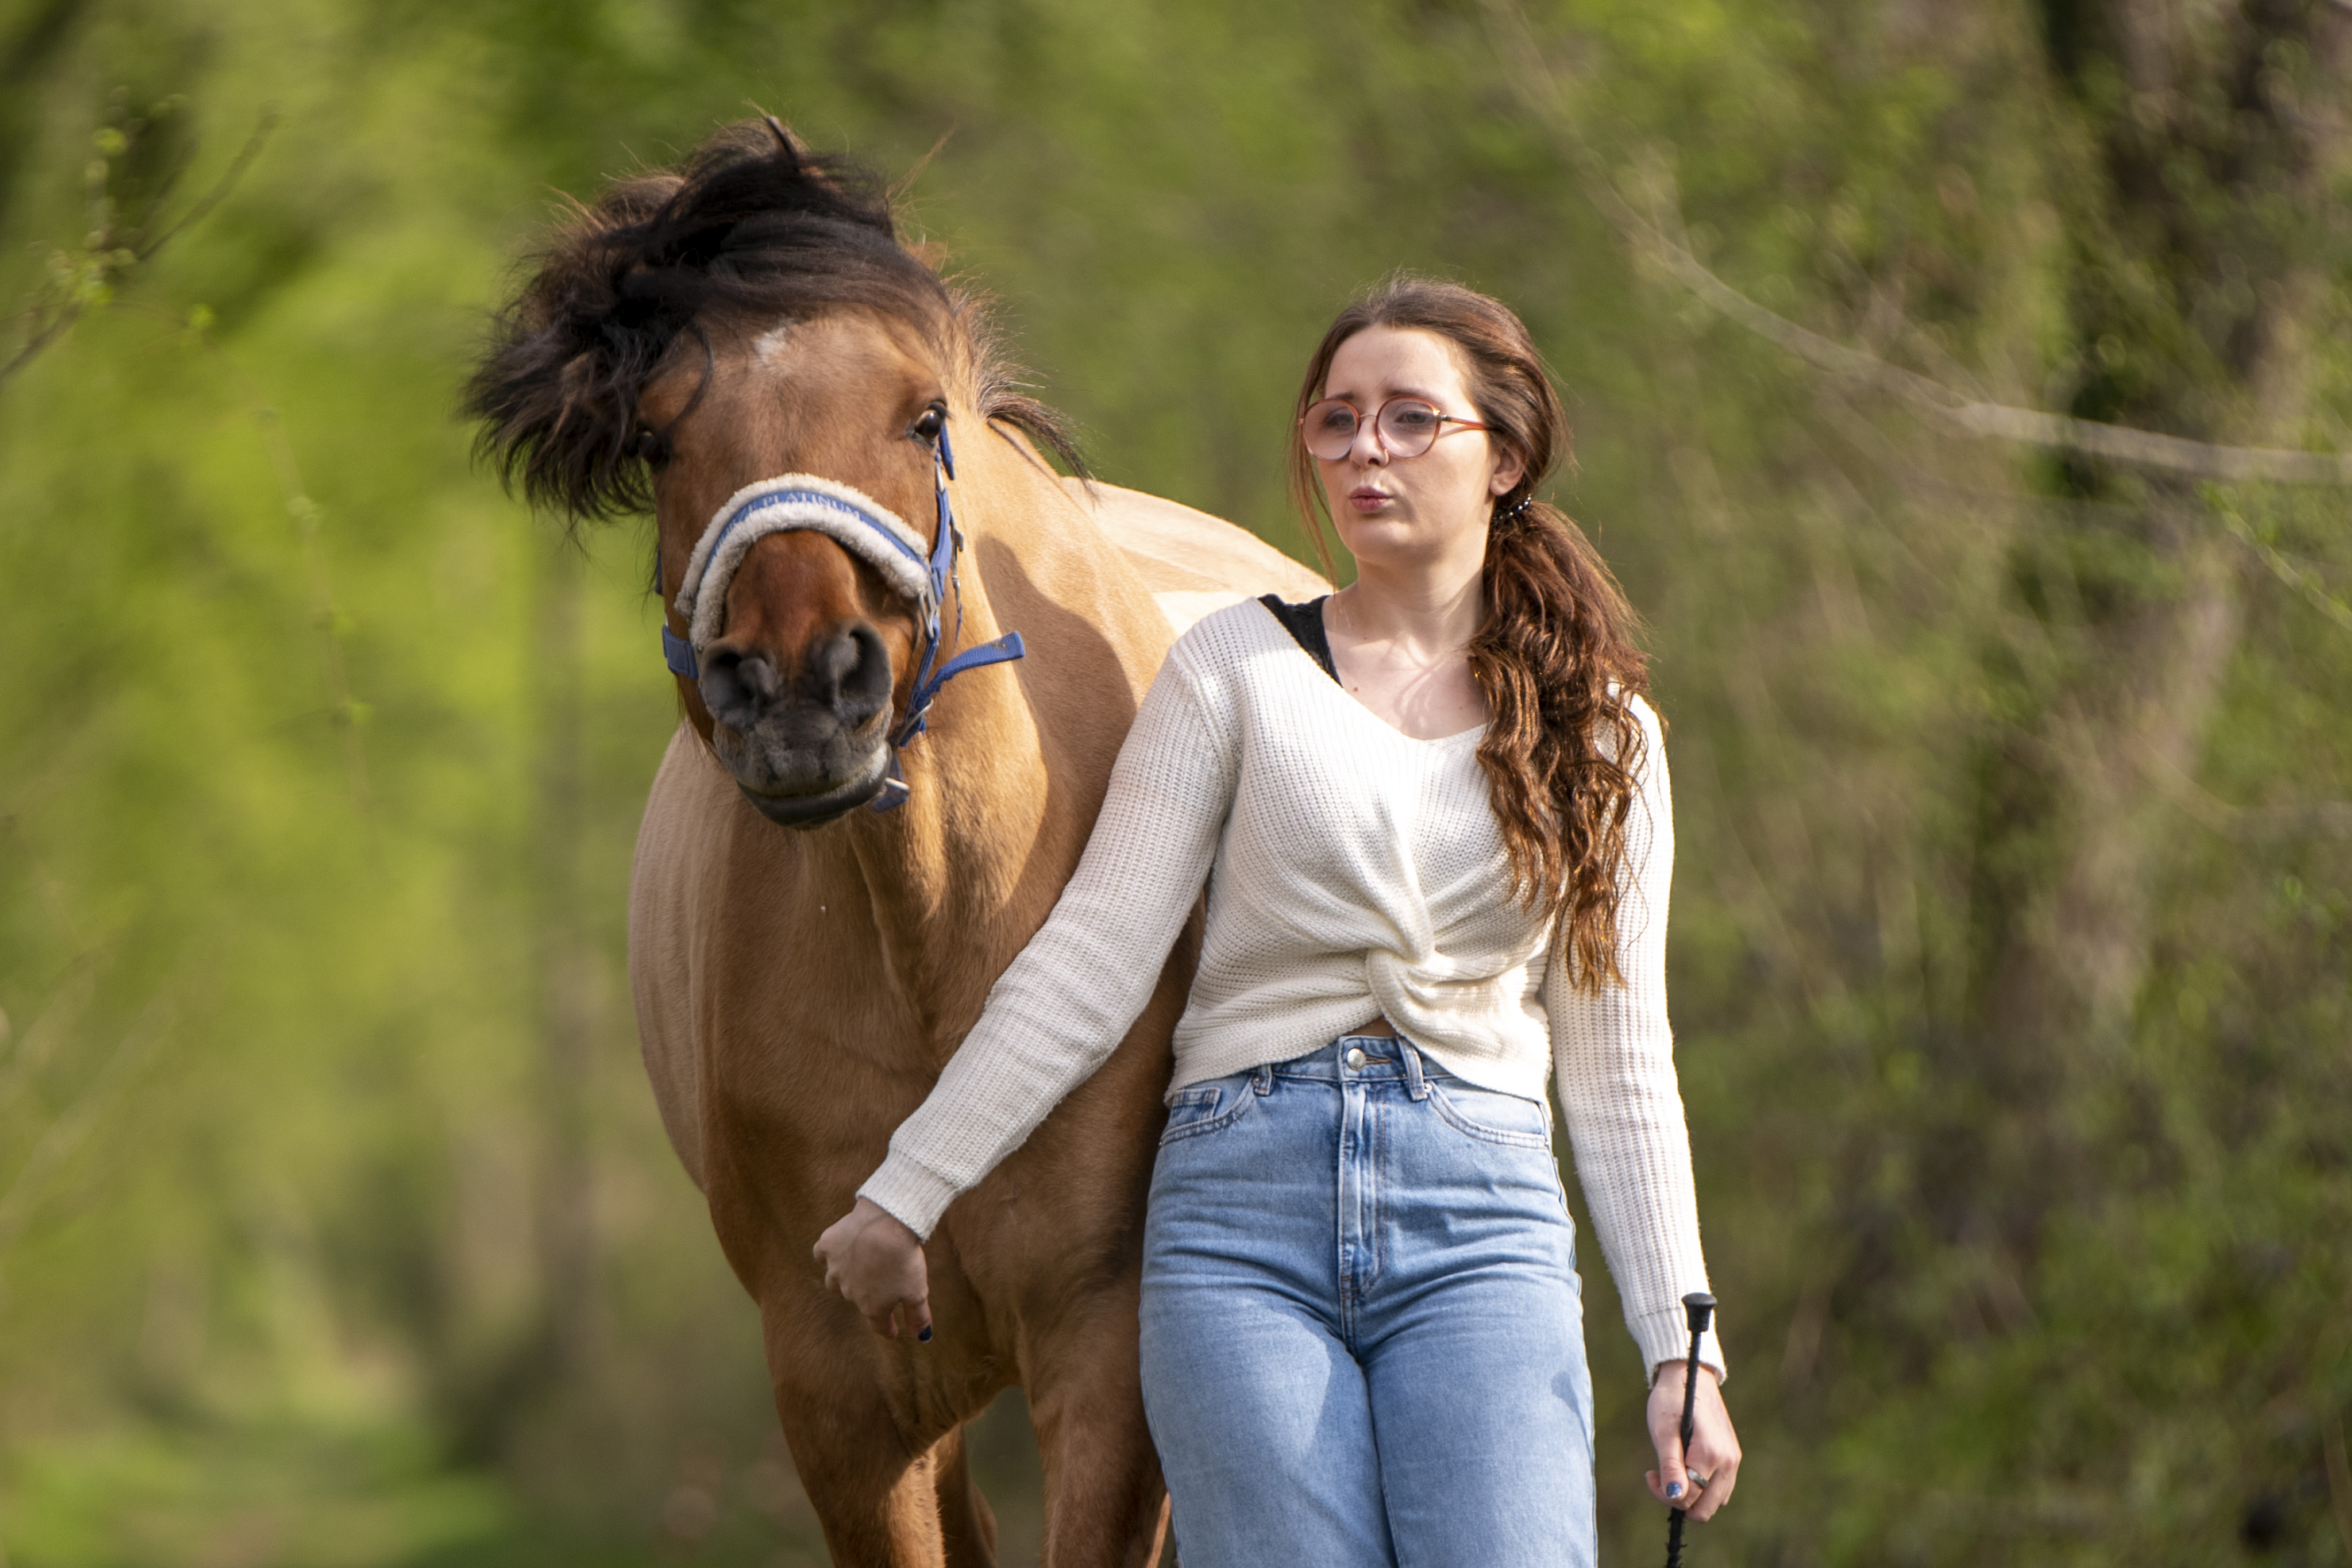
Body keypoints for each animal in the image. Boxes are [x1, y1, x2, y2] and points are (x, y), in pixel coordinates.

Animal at [466, 118, 1325, 1567]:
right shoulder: (840, 1390)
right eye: (660, 440)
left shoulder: (1108, 1349)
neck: (943, 952)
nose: (802, 688)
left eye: (922, 417)